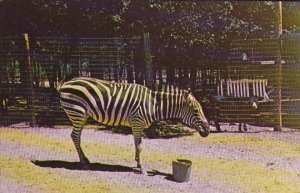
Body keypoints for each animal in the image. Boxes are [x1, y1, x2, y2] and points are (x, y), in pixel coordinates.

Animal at [57, 76, 210, 173]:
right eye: (196, 110)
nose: (208, 130)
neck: (153, 105)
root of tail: (65, 83)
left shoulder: (138, 124)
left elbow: (137, 144)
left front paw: (137, 163)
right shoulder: (137, 122)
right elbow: (140, 145)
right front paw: (141, 167)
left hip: (80, 116)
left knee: (75, 136)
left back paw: (85, 160)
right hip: (77, 113)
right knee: (75, 136)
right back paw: (84, 162)